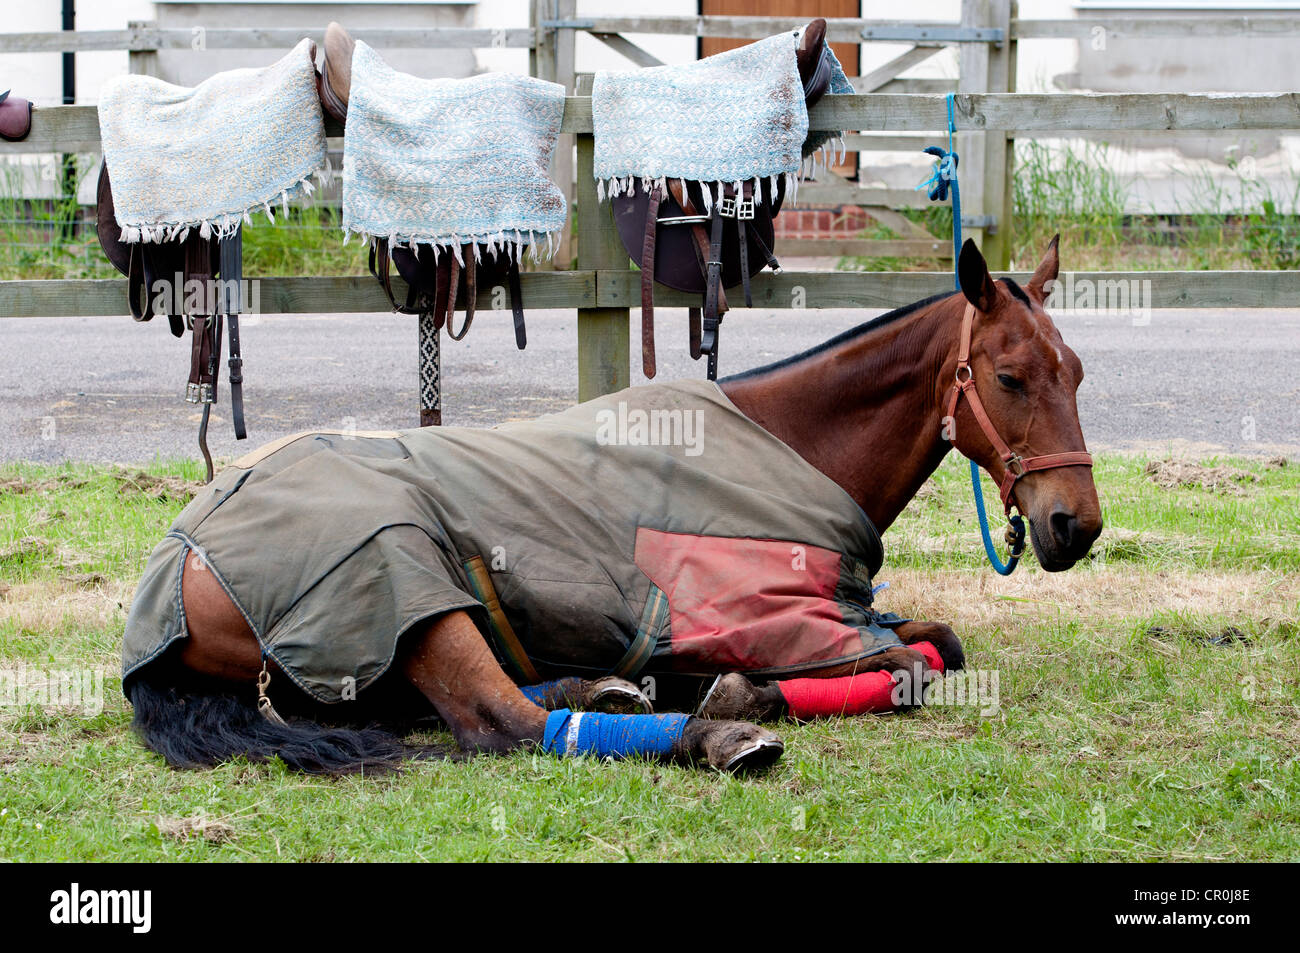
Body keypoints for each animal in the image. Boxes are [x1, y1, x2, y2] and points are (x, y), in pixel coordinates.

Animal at [123, 237, 1101, 774]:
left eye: (1078, 371)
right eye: (1011, 377)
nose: (1075, 524)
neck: (789, 442)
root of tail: (179, 554)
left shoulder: (840, 613)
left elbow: (940, 643)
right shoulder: (790, 620)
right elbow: (913, 667)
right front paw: (741, 693)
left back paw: (616, 685)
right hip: (398, 582)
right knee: (501, 721)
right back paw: (707, 732)